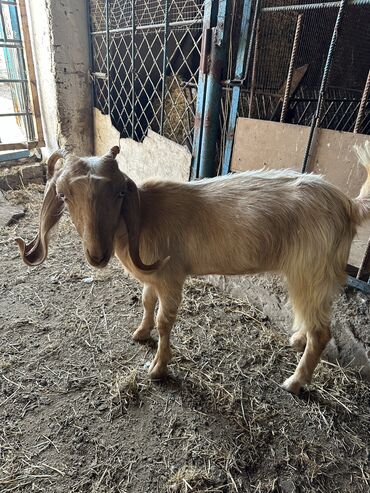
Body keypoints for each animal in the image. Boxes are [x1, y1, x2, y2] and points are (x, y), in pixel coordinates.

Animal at [15, 142, 370, 392]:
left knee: (322, 331)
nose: (96, 256)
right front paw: (140, 334)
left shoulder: (171, 278)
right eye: (63, 195)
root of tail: (348, 205)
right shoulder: (153, 277)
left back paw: (295, 382)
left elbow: (164, 321)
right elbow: (147, 302)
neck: (142, 218)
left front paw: (158, 368)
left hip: (312, 271)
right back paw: (297, 339)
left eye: (118, 194)